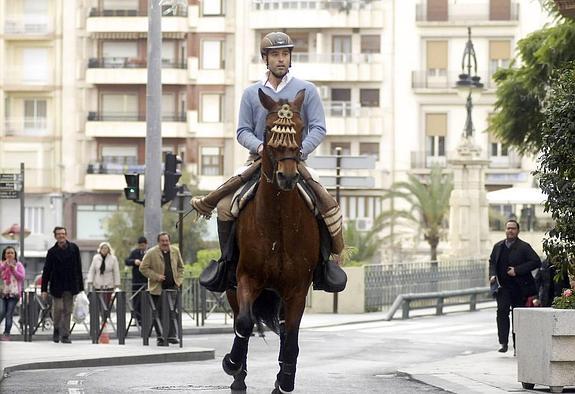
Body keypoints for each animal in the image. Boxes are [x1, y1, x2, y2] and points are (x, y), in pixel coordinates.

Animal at [223, 89, 322, 394]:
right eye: (268, 130)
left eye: (300, 129)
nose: (287, 176)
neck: (277, 225)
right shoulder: (247, 277)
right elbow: (244, 322)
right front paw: (232, 364)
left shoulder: (297, 289)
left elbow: (291, 339)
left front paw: (284, 382)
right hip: (233, 289)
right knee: (240, 319)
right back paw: (238, 377)